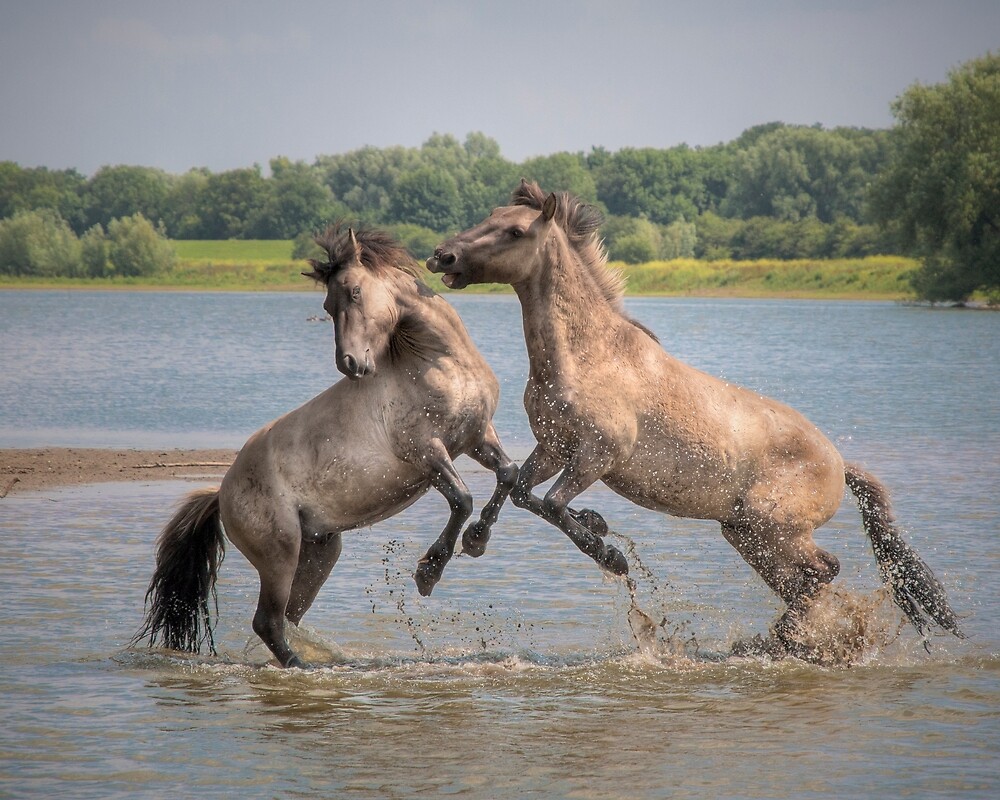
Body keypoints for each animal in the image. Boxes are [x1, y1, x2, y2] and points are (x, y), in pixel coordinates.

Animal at [133, 225, 516, 668]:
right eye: (327, 305)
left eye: (354, 292)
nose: (349, 364)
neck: (441, 362)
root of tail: (222, 494)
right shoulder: (425, 451)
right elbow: (461, 498)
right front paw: (428, 572)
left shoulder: (477, 437)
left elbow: (508, 475)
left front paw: (476, 541)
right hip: (280, 556)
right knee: (268, 622)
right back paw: (306, 668)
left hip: (318, 553)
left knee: (287, 620)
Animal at [428, 183, 960, 656]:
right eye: (490, 216)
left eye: (515, 231)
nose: (442, 256)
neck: (586, 356)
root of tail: (840, 464)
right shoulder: (555, 447)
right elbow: (520, 489)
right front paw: (475, 542)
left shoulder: (597, 455)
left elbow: (554, 504)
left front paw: (610, 553)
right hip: (745, 533)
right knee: (804, 583)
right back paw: (787, 644)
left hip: (773, 528)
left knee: (823, 572)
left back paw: (777, 642)